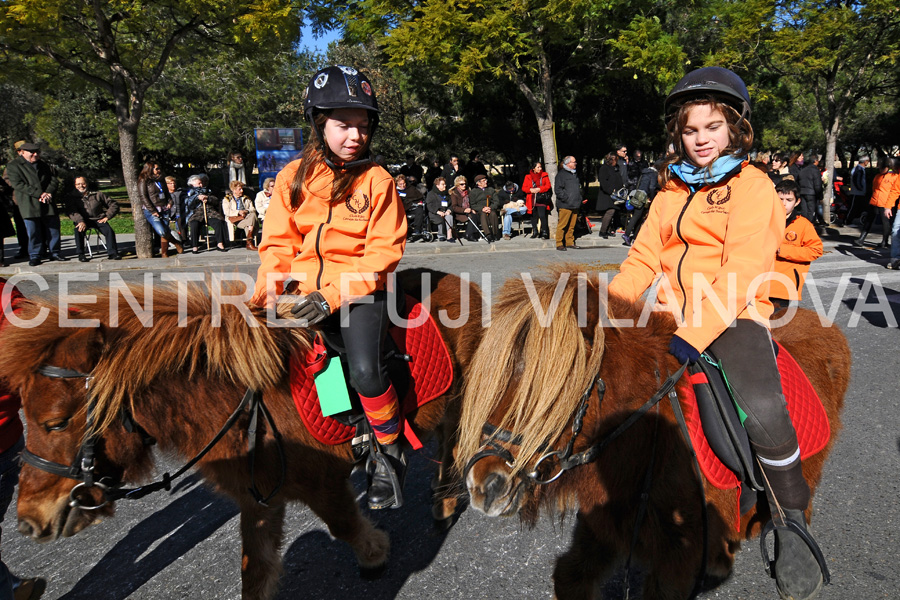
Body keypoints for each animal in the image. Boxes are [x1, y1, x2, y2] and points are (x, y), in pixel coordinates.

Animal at [0, 270, 482, 600]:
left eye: (55, 422)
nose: (28, 521)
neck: (244, 400)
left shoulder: (323, 484)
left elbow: (343, 525)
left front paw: (375, 553)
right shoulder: (260, 497)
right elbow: (255, 570)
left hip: (460, 399)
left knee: (454, 445)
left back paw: (443, 501)